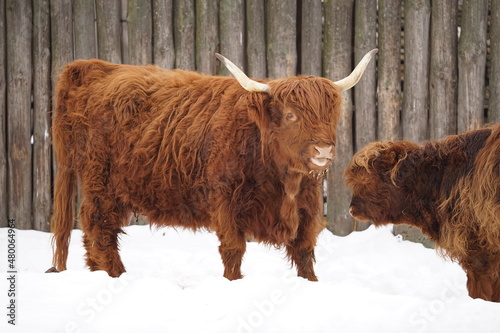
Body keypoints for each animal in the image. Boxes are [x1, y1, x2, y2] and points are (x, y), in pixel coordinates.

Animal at [49, 50, 378, 280]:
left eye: (330, 115)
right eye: (290, 115)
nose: (323, 148)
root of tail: (93, 66)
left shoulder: (307, 207)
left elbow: (304, 252)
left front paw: (310, 284)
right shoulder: (225, 201)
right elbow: (233, 250)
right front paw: (233, 283)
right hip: (100, 183)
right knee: (99, 227)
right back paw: (116, 276)